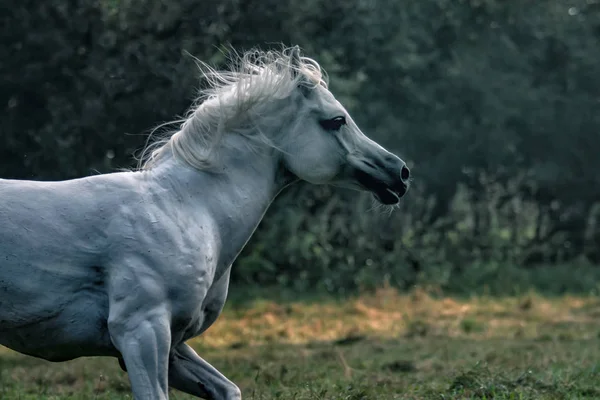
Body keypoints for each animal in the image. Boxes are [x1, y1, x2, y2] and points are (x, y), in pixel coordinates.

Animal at [0, 47, 410, 400]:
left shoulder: (174, 344)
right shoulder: (141, 331)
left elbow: (228, 389)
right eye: (336, 120)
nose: (400, 173)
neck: (190, 208)